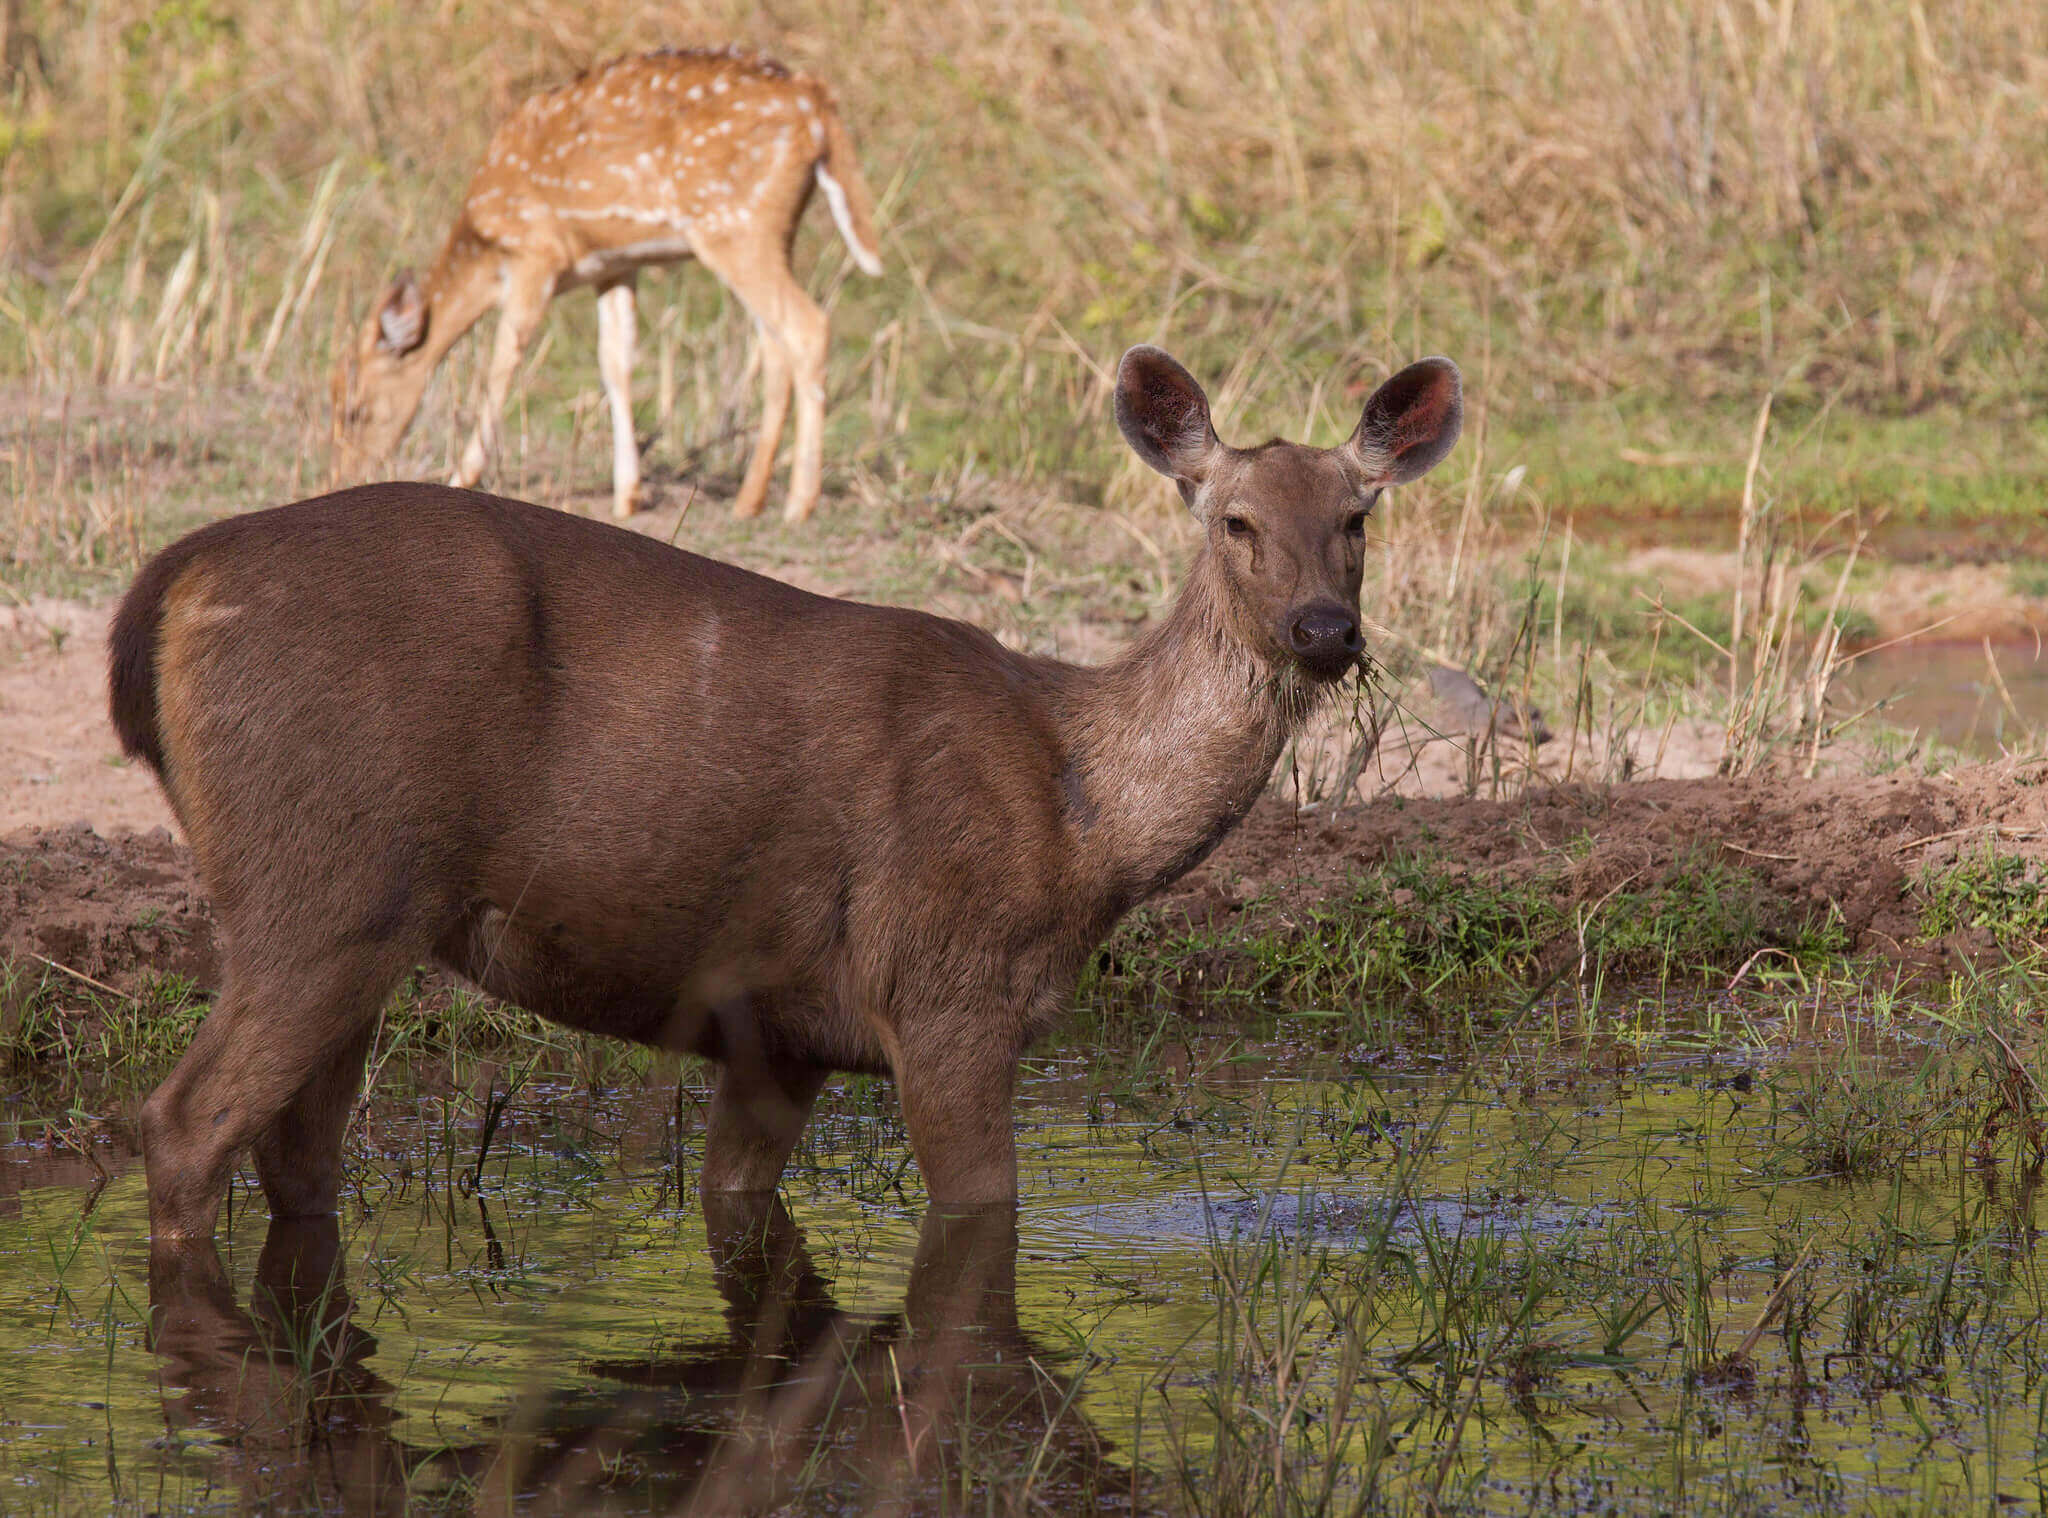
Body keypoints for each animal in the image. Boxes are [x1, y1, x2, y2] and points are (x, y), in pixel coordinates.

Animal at [112, 346, 1466, 1245]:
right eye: (1233, 520)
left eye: (1358, 518)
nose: (1323, 630)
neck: (1083, 823)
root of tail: (168, 585)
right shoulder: (945, 984)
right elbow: (980, 1220)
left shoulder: (782, 1033)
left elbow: (735, 1202)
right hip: (321, 875)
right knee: (185, 1122)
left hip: (355, 905)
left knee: (296, 1145)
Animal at [331, 48, 884, 520]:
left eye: (355, 411)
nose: (344, 477)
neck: (485, 242)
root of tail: (819, 106)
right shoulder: (613, 266)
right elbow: (615, 362)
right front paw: (627, 495)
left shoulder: (536, 252)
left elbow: (504, 360)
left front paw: (462, 474)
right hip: (770, 232)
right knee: (773, 342)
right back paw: (750, 500)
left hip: (735, 225)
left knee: (808, 325)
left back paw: (799, 503)